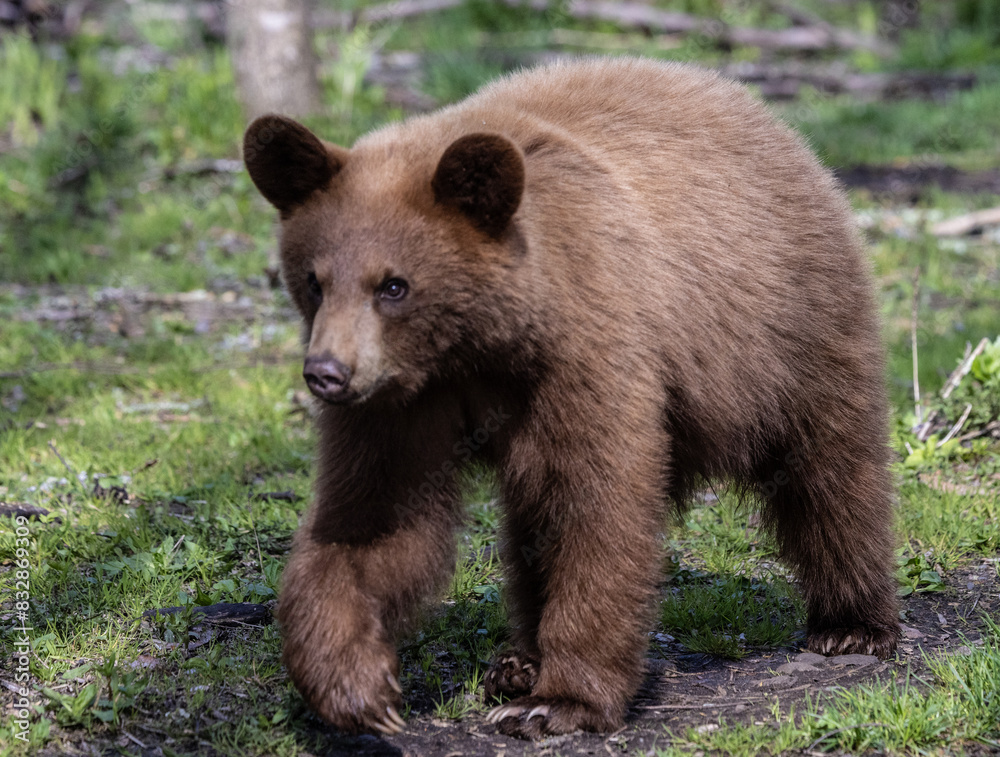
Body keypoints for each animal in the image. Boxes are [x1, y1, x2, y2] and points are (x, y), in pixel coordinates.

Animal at [242, 57, 900, 740]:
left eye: (393, 286)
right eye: (315, 281)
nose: (326, 373)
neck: (480, 345)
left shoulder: (585, 347)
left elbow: (598, 503)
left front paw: (559, 702)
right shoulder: (400, 402)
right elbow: (373, 516)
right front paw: (354, 685)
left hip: (789, 329)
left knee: (828, 469)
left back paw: (852, 622)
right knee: (530, 525)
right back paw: (517, 662)